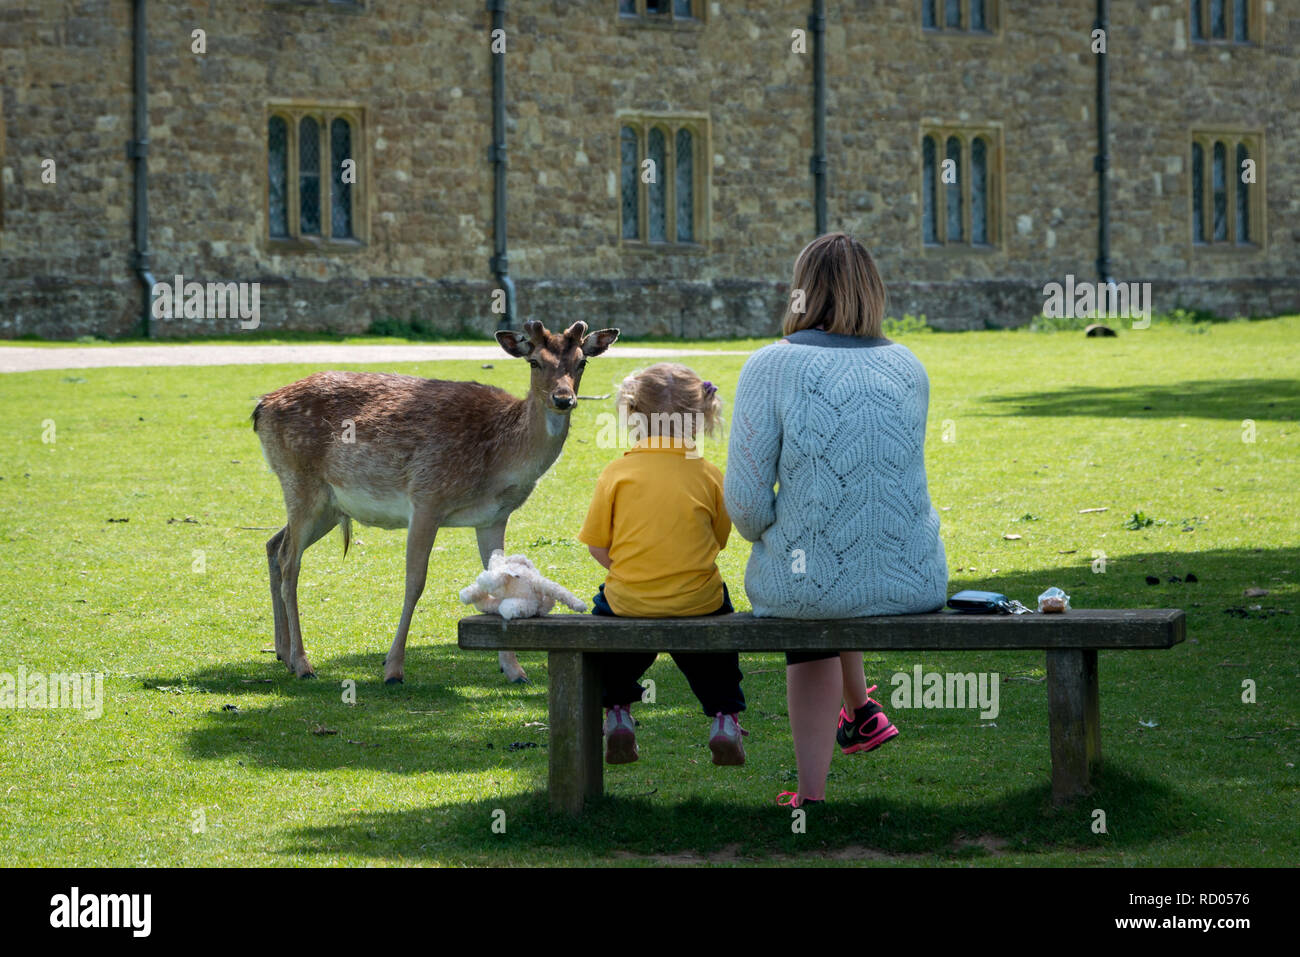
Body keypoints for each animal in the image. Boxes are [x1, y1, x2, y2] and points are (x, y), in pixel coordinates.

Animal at [254, 319, 624, 681]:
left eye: (582, 362)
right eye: (534, 361)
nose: (563, 398)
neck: (500, 461)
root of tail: (261, 408)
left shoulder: (493, 516)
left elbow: (501, 582)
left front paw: (515, 670)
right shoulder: (427, 496)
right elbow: (415, 581)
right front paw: (393, 668)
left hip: (329, 505)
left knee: (274, 544)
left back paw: (282, 653)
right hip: (300, 481)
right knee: (289, 561)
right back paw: (303, 663)